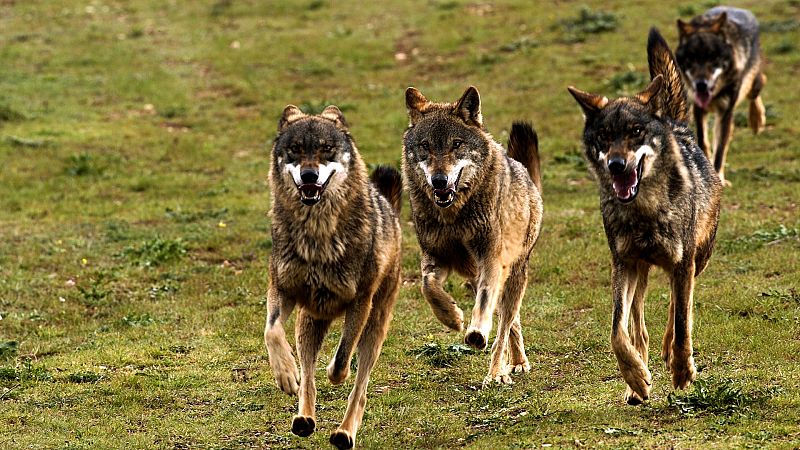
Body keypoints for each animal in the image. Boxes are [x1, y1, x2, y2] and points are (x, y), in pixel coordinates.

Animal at [263, 104, 402, 449]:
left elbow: (341, 361)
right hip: (308, 323)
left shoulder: (360, 302)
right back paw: (304, 418)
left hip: (375, 327)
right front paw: (285, 374)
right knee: (308, 378)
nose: (309, 176)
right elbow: (272, 332)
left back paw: (344, 433)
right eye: (296, 150)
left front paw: (334, 372)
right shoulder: (282, 289)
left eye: (326, 149)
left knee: (360, 388)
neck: (318, 234)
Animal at [402, 86, 543, 385]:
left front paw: (476, 333)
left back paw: (499, 372)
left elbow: (486, 304)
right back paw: (514, 362)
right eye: (425, 146)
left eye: (456, 144)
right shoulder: (435, 257)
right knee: (510, 320)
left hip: (514, 273)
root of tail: (523, 171)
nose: (439, 181)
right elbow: (427, 286)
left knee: (504, 325)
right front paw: (452, 318)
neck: (454, 216)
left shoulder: (490, 259)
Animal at [567, 28, 722, 404]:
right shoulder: (622, 264)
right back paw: (637, 381)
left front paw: (682, 371)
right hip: (640, 272)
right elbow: (616, 331)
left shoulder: (682, 264)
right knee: (637, 325)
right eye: (605, 137)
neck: (645, 211)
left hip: (697, 259)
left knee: (679, 308)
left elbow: (681, 320)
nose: (616, 165)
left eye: (636, 132)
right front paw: (636, 378)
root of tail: (676, 124)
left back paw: (669, 354)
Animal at [675, 6, 766, 185]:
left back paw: (756, 121)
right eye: (691, 59)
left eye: (714, 59)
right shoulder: (698, 109)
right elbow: (703, 141)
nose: (701, 84)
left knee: (758, 87)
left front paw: (719, 178)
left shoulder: (725, 113)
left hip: (753, 83)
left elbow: (720, 150)